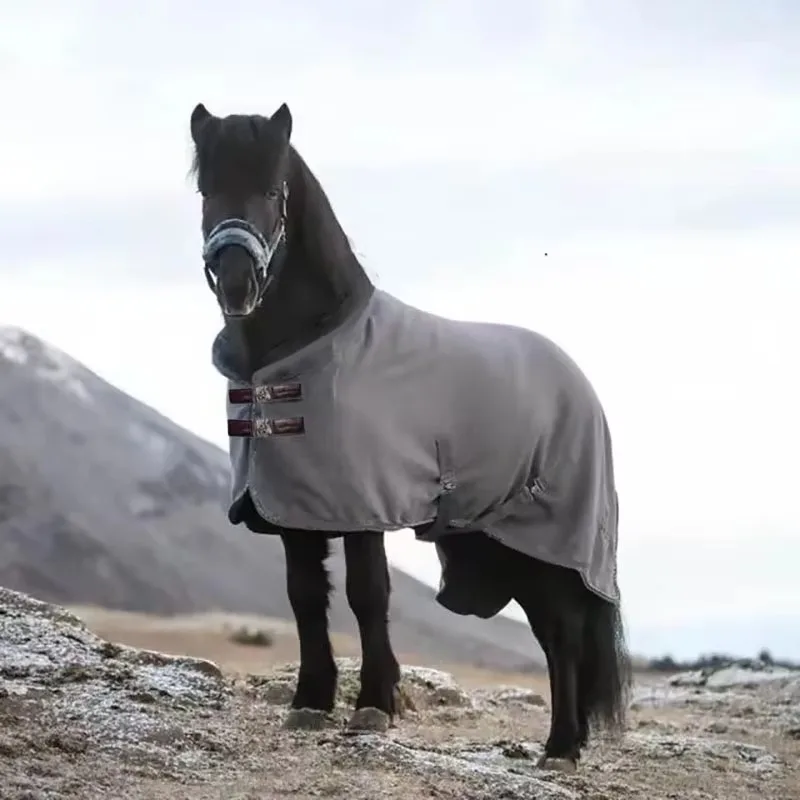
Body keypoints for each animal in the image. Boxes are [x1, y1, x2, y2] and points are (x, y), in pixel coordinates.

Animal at [189, 100, 632, 771]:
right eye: (206, 189)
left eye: (271, 190)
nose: (237, 282)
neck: (306, 349)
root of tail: (578, 384)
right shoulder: (295, 509)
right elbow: (303, 596)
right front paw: (310, 702)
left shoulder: (363, 505)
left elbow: (368, 594)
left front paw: (373, 704)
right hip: (511, 545)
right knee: (559, 634)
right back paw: (570, 741)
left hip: (549, 541)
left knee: (561, 633)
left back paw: (559, 747)